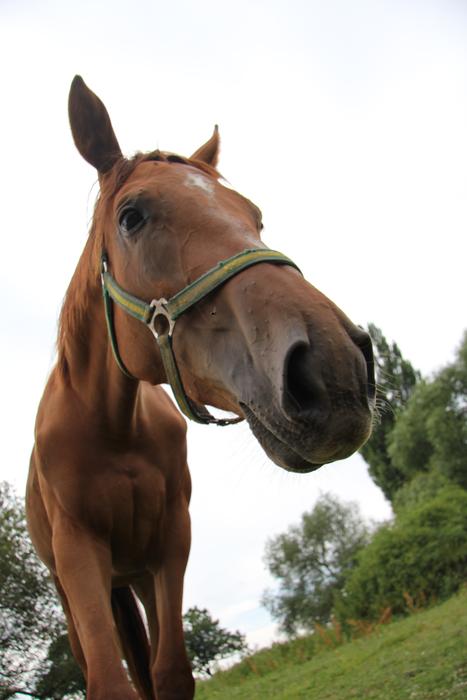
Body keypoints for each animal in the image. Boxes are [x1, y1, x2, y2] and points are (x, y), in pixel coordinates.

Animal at [26, 75, 375, 700]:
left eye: (254, 216)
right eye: (132, 217)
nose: (335, 369)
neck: (110, 427)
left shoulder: (170, 543)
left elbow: (169, 673)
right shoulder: (78, 553)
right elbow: (109, 682)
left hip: (136, 577)